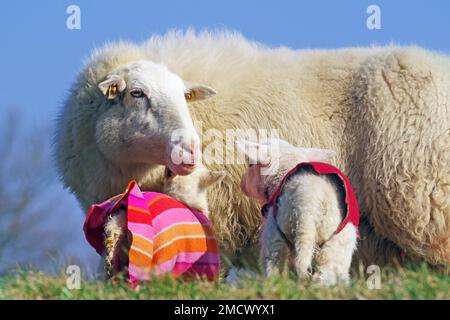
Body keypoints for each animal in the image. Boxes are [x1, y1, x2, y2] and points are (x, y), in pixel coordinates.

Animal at [236, 139, 358, 286]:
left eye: (250, 164)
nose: (242, 185)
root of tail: (311, 199)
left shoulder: (272, 231)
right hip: (339, 241)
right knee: (327, 273)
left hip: (278, 231)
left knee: (276, 264)